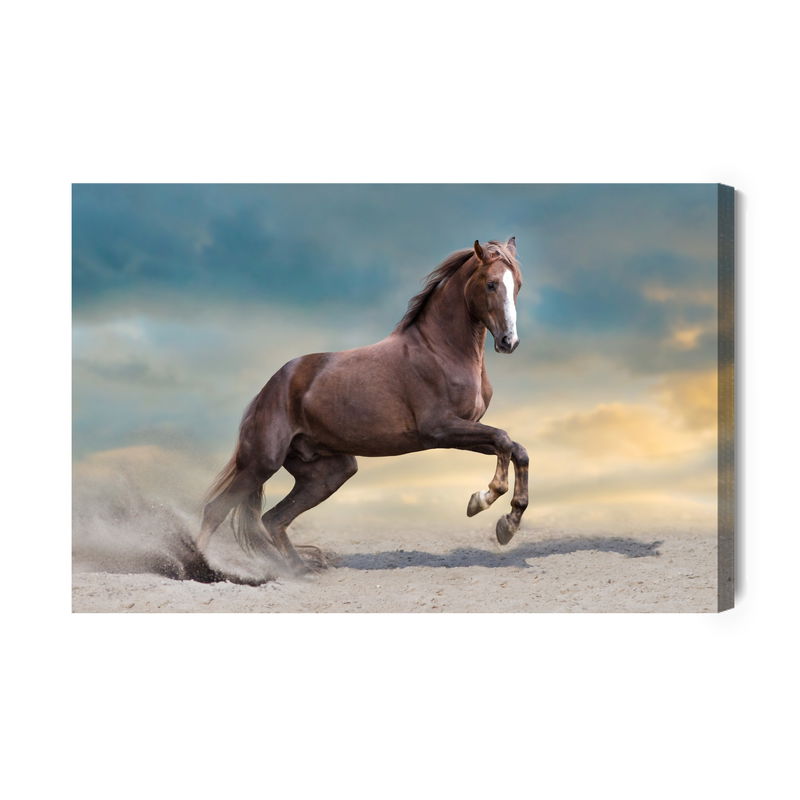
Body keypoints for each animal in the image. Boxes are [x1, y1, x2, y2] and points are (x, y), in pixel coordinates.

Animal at [198, 237, 529, 573]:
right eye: (490, 284)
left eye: (517, 285)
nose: (509, 342)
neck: (440, 350)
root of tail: (266, 391)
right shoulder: (441, 429)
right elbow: (503, 439)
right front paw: (481, 500)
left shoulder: (464, 430)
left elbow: (516, 449)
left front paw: (507, 524)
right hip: (261, 463)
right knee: (215, 511)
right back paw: (202, 567)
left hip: (329, 472)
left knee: (273, 519)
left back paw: (301, 570)